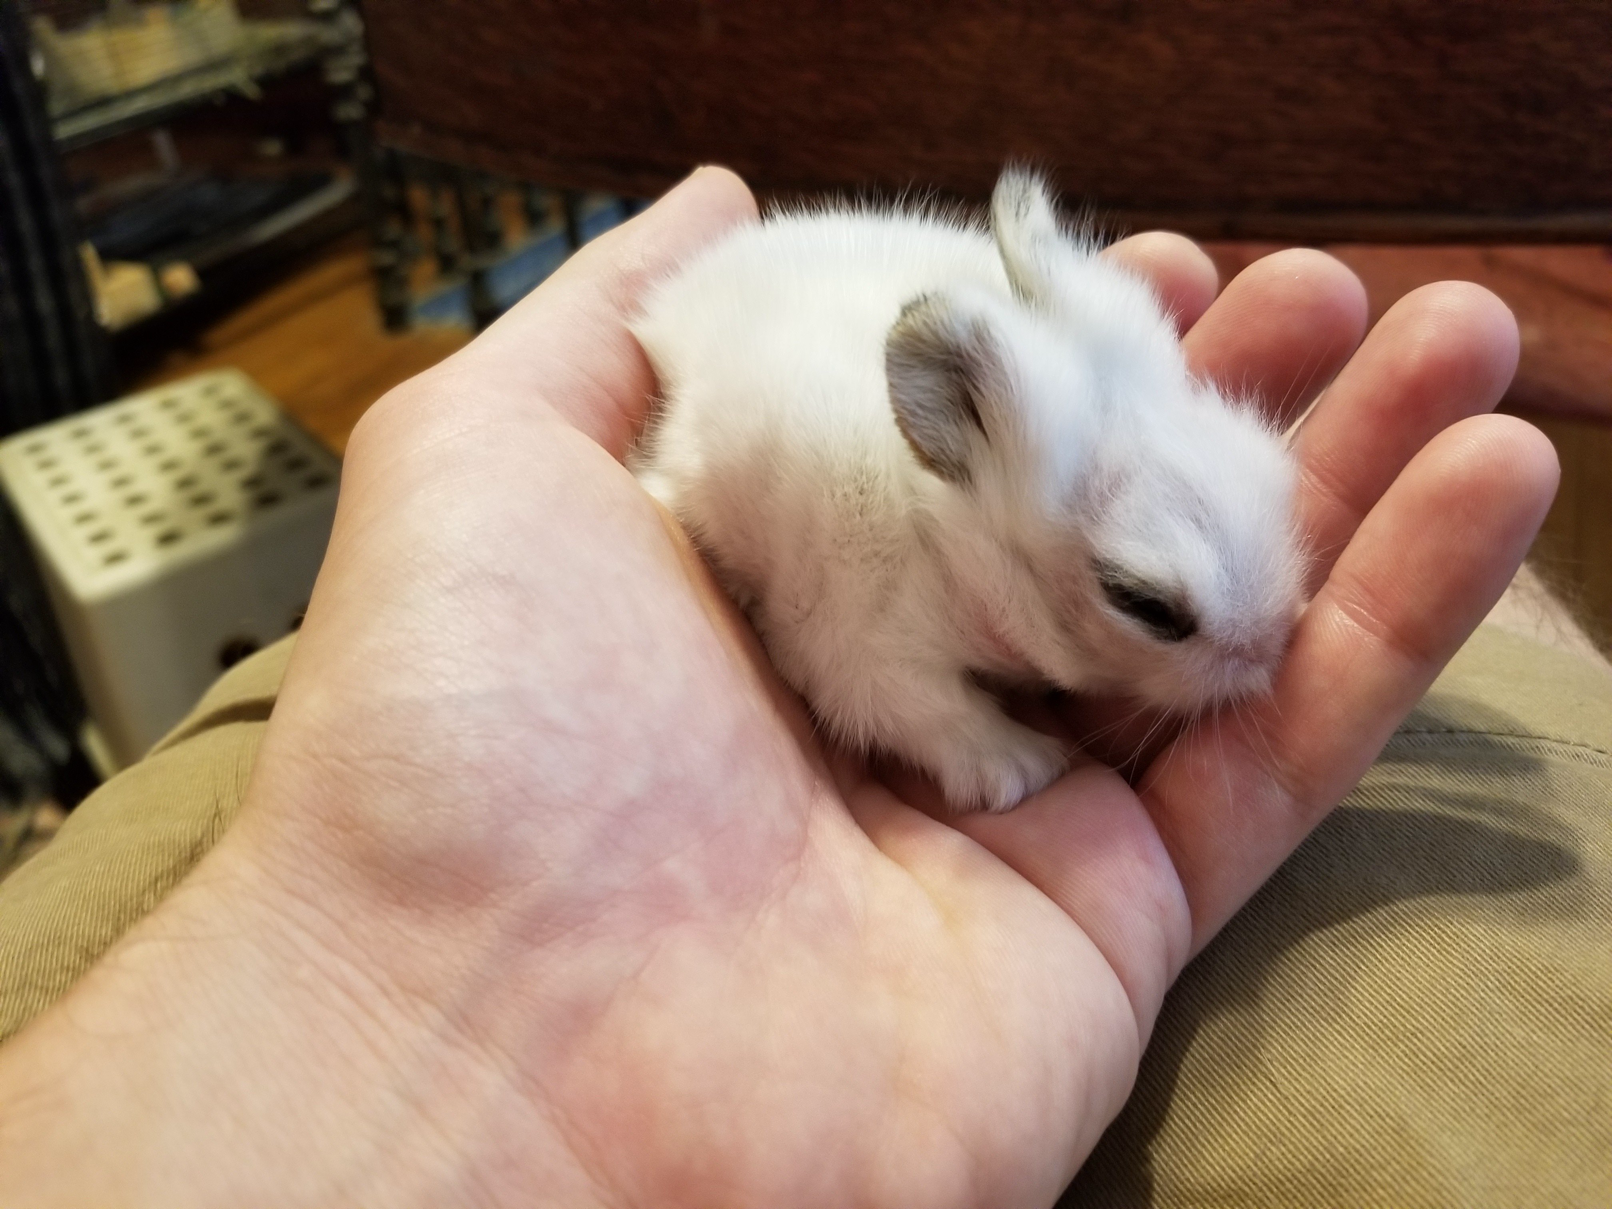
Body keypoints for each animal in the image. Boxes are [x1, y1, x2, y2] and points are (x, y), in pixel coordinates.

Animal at [625, 170, 1296, 815]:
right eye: (1144, 604)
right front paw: (1022, 767)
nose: (1271, 650)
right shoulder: (862, 643)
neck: (949, 547)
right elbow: (927, 709)